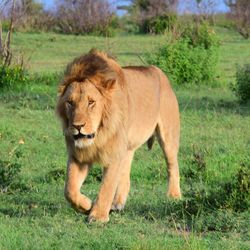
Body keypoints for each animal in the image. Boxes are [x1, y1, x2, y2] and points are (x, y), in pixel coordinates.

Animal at [56, 48, 181, 223]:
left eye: (91, 102)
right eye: (70, 102)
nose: (77, 126)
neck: (100, 134)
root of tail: (159, 72)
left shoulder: (113, 154)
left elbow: (107, 186)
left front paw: (98, 217)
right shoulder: (78, 155)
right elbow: (70, 190)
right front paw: (87, 205)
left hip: (168, 136)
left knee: (172, 166)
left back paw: (174, 195)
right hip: (127, 148)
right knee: (125, 176)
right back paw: (117, 204)